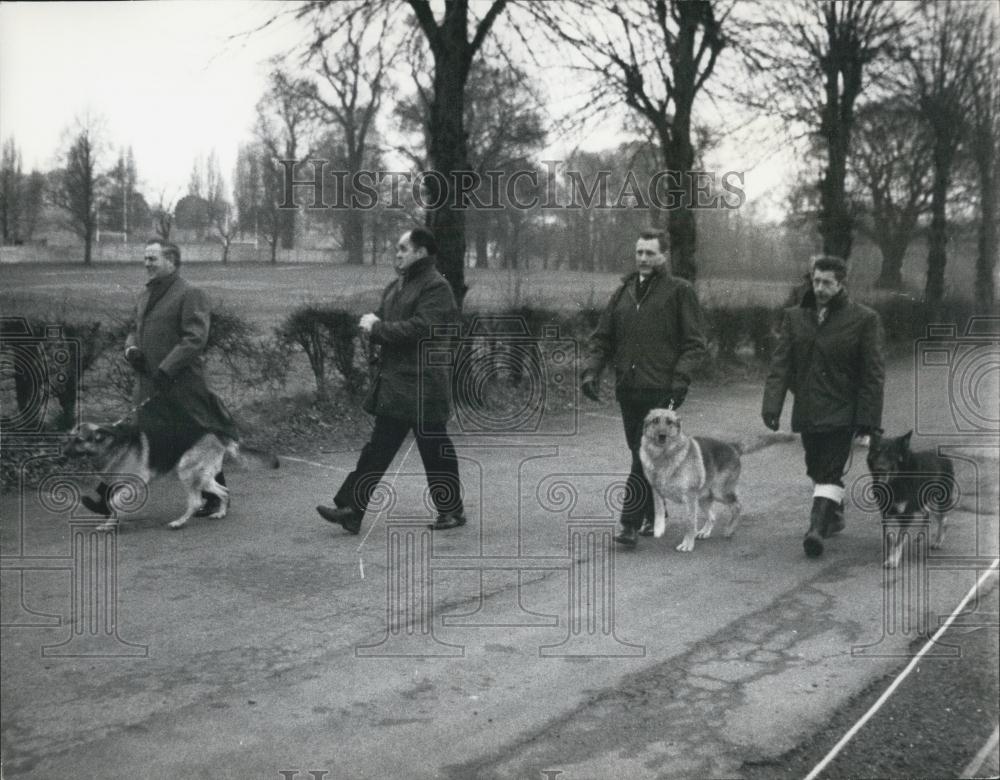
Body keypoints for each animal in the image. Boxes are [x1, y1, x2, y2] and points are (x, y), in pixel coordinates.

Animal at [63, 420, 280, 532]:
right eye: (69, 438)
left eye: (79, 440)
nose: (62, 453)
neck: (110, 444)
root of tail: (217, 434)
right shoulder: (120, 485)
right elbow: (113, 503)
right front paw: (111, 522)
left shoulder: (136, 483)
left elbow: (115, 503)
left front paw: (114, 521)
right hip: (203, 477)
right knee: (223, 491)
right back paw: (220, 512)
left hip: (186, 472)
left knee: (196, 501)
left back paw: (179, 522)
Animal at [636, 412, 748, 552]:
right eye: (655, 421)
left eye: (669, 422)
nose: (662, 435)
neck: (663, 456)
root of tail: (732, 447)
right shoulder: (656, 491)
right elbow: (659, 510)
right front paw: (658, 528)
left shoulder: (689, 498)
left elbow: (689, 523)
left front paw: (687, 544)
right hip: (703, 498)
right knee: (712, 516)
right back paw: (704, 532)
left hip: (719, 493)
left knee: (737, 506)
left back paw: (729, 529)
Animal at [868, 430, 952, 568]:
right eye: (877, 451)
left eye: (891, 454)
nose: (879, 468)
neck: (896, 480)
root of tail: (944, 457)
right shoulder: (886, 513)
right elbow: (890, 538)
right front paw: (891, 554)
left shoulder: (907, 514)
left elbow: (899, 540)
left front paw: (893, 560)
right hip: (922, 502)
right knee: (928, 514)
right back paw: (921, 536)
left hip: (937, 501)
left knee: (943, 520)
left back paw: (938, 541)